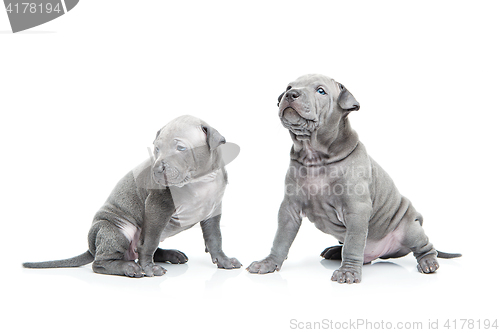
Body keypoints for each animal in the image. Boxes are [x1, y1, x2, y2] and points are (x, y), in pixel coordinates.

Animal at [24, 115, 241, 276]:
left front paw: (224, 260)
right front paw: (149, 269)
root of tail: (91, 247)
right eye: (157, 148)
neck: (200, 181)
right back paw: (130, 267)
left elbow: (215, 237)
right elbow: (150, 242)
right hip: (115, 229)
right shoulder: (157, 206)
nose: (157, 170)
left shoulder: (213, 211)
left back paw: (170, 255)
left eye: (181, 148)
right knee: (103, 262)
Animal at [246, 73, 460, 282]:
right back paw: (334, 251)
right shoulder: (289, 208)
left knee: (424, 246)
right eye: (289, 87)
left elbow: (353, 243)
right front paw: (268, 263)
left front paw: (347, 272)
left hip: (409, 228)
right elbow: (281, 239)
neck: (314, 157)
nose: (291, 94)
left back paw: (428, 262)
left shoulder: (356, 209)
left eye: (320, 91)